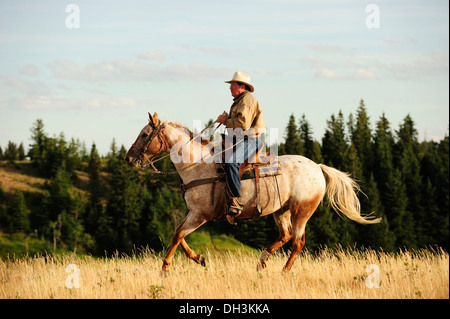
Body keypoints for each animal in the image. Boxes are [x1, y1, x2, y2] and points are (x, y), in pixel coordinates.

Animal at [124, 113, 380, 276]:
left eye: (145, 134)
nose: (128, 158)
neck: (197, 164)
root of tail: (317, 167)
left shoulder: (200, 214)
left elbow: (177, 235)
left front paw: (165, 268)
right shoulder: (193, 214)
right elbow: (179, 235)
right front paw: (199, 259)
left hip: (301, 212)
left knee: (297, 242)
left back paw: (282, 272)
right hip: (280, 211)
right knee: (286, 236)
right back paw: (262, 261)